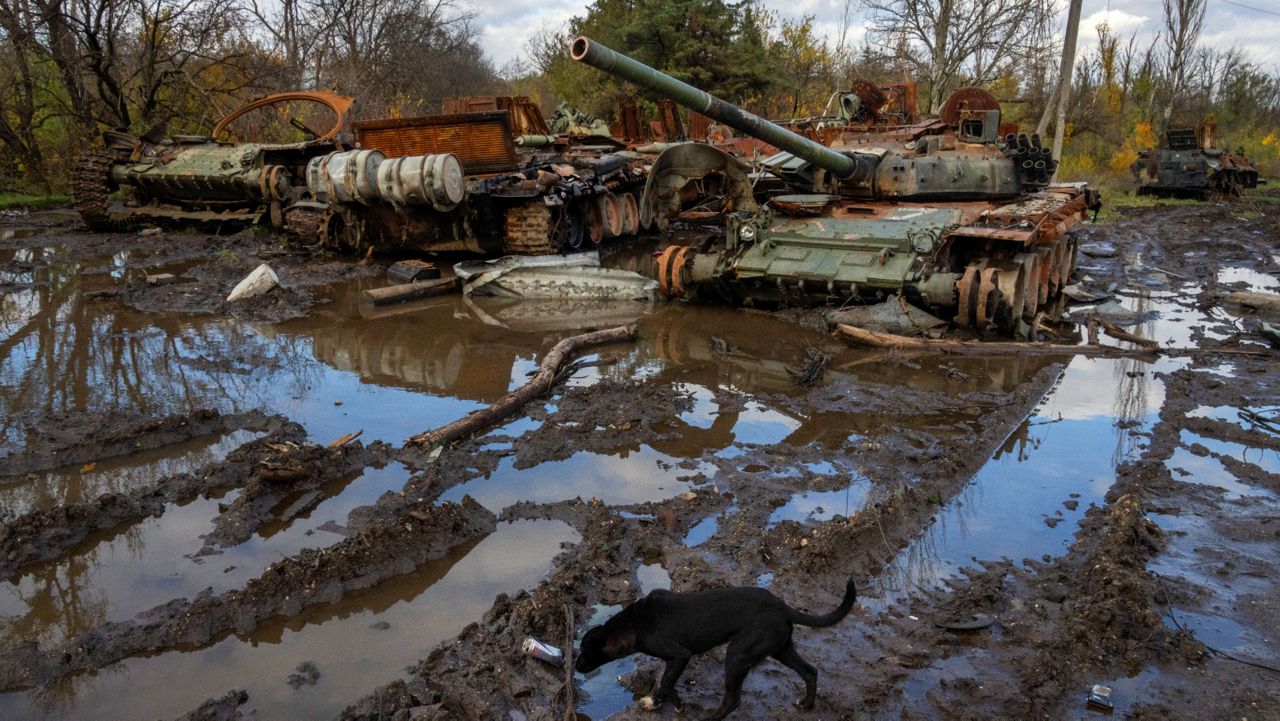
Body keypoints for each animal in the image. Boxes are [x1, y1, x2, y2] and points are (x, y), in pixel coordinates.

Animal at [576, 578, 855, 717]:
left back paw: (710, 719)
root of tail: (783, 606)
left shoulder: (680, 655)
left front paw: (654, 704)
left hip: (737, 655)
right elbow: (667, 683)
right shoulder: (674, 661)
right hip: (780, 648)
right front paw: (675, 704)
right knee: (810, 672)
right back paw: (806, 704)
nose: (576, 667)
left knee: (733, 701)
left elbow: (664, 683)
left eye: (585, 651)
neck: (634, 623)